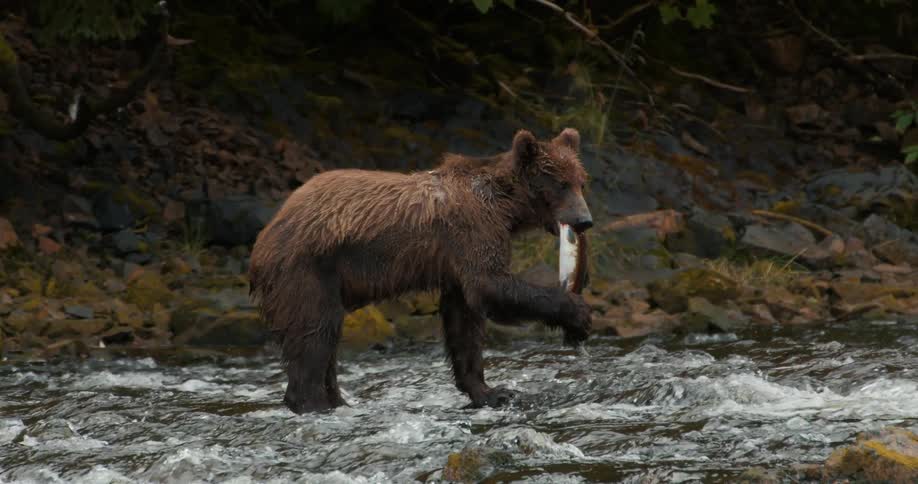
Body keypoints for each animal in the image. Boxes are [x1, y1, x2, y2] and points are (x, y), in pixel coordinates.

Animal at [248, 128, 594, 414]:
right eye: (560, 184)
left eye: (581, 181)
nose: (584, 220)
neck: (506, 208)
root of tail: (262, 241)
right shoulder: (473, 230)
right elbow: (491, 286)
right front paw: (578, 313)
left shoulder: (455, 260)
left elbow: (463, 318)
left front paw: (492, 391)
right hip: (307, 271)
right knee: (315, 332)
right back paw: (313, 404)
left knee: (325, 340)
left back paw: (337, 400)